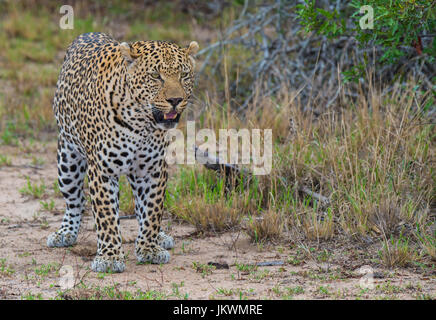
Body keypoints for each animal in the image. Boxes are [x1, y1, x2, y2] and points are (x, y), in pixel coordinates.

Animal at [46, 31, 199, 272]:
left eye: (184, 75)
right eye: (155, 76)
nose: (175, 100)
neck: (140, 123)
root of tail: (89, 33)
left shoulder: (152, 170)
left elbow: (152, 211)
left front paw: (149, 248)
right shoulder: (102, 171)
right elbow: (107, 216)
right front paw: (109, 257)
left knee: (140, 207)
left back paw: (160, 236)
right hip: (67, 162)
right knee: (75, 200)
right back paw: (65, 232)